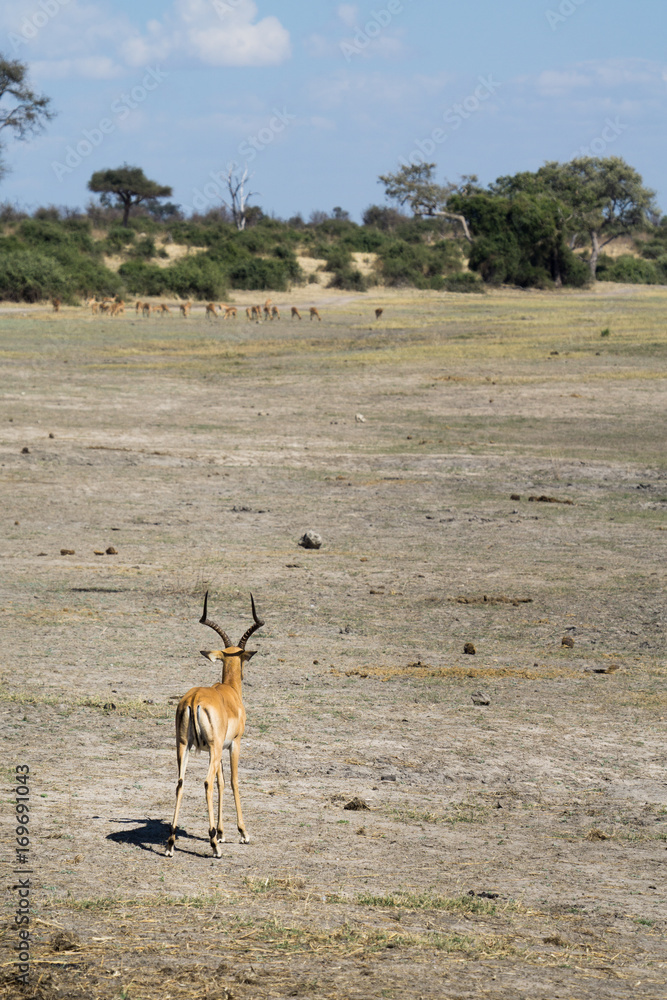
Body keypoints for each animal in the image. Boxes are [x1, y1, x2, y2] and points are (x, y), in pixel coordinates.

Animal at [165, 593, 264, 859]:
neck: (229, 692)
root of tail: (193, 700)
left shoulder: (217, 750)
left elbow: (222, 783)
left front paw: (221, 831)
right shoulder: (233, 745)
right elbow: (232, 781)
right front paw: (242, 833)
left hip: (184, 747)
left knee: (180, 783)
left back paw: (171, 843)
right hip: (213, 747)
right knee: (207, 782)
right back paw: (214, 847)